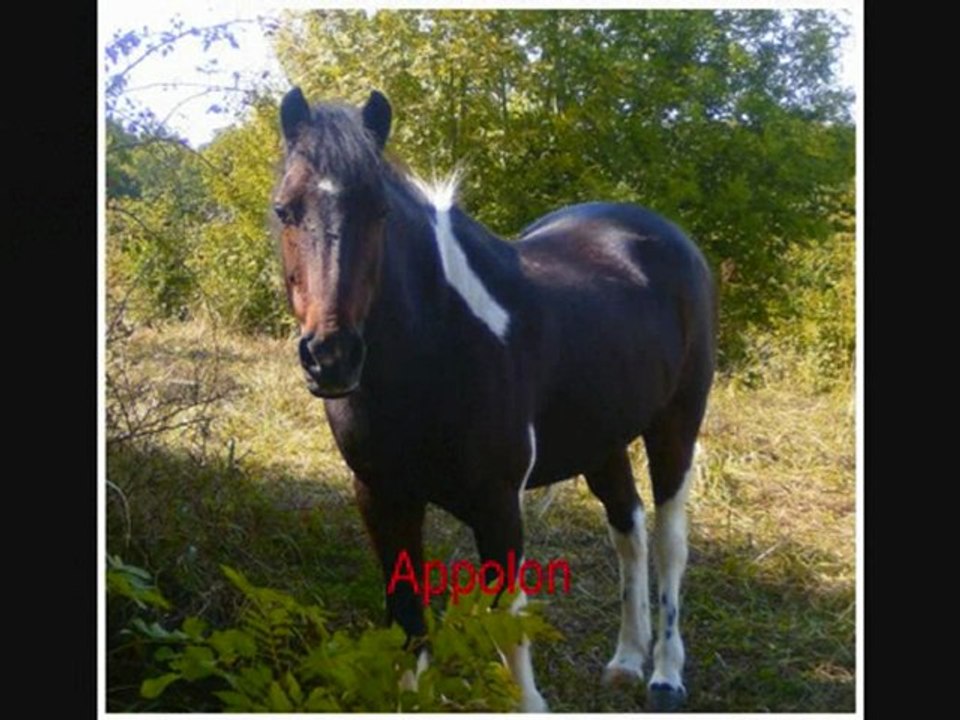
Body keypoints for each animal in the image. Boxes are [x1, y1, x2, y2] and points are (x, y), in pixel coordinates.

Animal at [272, 87, 716, 712]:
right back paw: (627, 660)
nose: (331, 356)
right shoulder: (381, 497)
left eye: (380, 212)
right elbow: (407, 618)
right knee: (628, 529)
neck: (437, 345)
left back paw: (665, 675)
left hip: (676, 424)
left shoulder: (498, 504)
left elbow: (508, 621)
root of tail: (665, 237)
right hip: (601, 438)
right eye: (285, 210)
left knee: (670, 540)